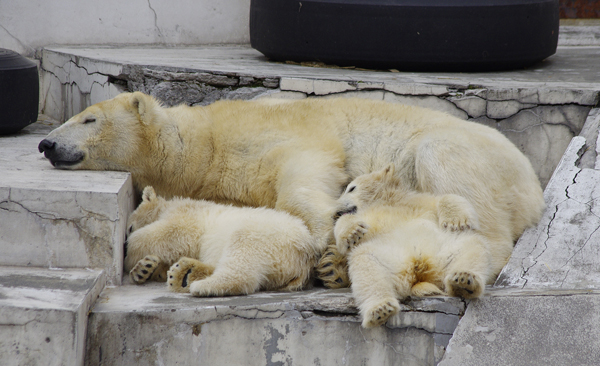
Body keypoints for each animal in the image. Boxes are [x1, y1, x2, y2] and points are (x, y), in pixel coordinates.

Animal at [36, 93, 544, 288]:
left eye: (88, 118)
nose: (46, 143)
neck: (204, 142)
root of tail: (536, 189)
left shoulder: (277, 132)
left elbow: (304, 172)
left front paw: (327, 241)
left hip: (474, 155)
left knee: (446, 166)